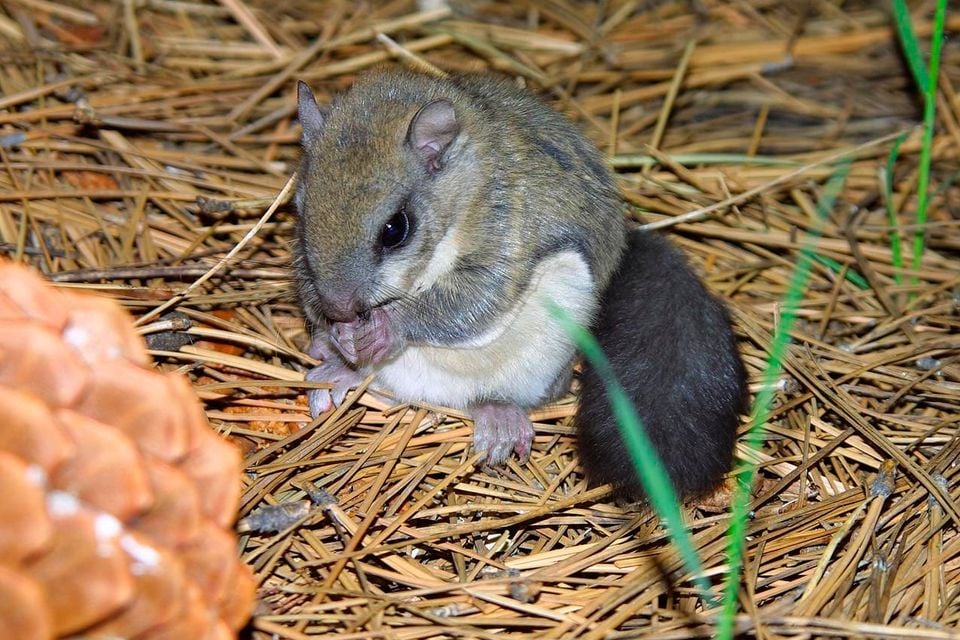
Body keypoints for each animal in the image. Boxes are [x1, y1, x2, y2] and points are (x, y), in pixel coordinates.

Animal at [294, 70, 747, 501]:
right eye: (300, 211)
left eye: (395, 229)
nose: (339, 307)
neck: (463, 182)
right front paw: (335, 335)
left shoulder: (506, 223)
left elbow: (475, 298)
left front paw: (387, 328)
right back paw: (338, 373)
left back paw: (499, 416)